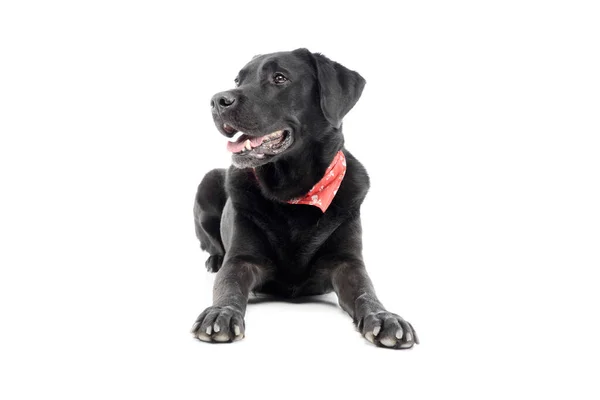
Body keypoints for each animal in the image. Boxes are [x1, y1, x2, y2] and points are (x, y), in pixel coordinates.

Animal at [191, 48, 418, 348]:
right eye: (238, 80)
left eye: (279, 78)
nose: (217, 100)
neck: (295, 193)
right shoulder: (241, 259)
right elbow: (228, 287)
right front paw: (220, 313)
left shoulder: (347, 262)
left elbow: (366, 292)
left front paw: (384, 317)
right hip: (207, 183)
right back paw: (215, 260)